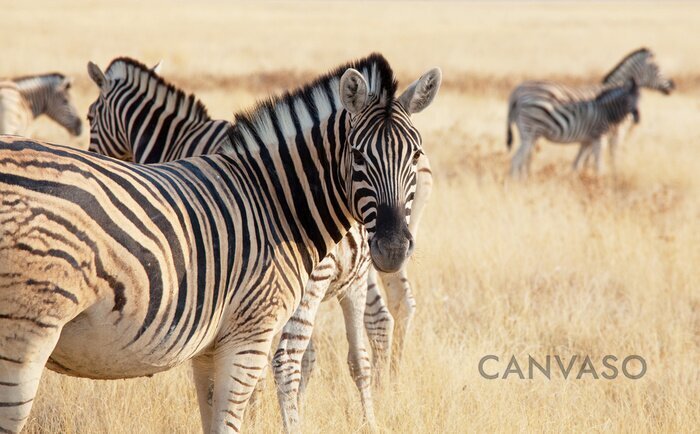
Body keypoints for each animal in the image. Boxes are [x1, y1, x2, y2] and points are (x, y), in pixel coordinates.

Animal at [0, 54, 438, 434]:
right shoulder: (245, 331)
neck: (273, 200)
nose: (392, 247)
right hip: (25, 335)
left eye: (414, 153)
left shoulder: (219, 338)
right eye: (358, 155)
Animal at [506, 47, 676, 176]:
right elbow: (612, 157)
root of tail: (517, 90)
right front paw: (613, 176)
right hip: (531, 130)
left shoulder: (589, 137)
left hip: (531, 133)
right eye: (657, 68)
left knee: (525, 158)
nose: (672, 86)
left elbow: (581, 161)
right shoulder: (615, 132)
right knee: (521, 158)